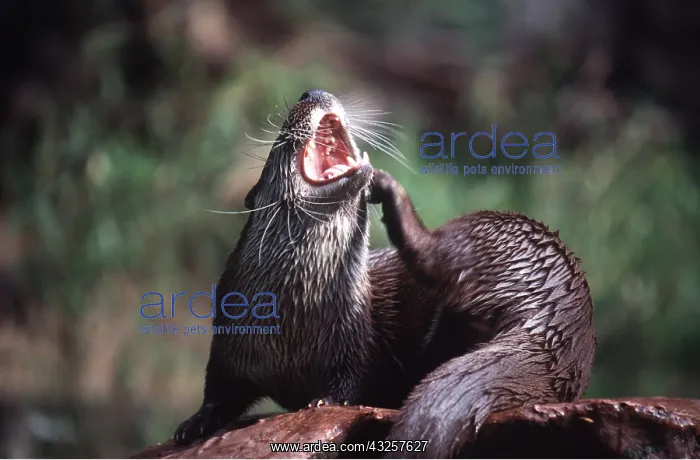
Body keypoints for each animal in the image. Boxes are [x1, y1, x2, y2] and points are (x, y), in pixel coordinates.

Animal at [173, 89, 596, 458]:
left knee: (435, 255)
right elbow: (219, 388)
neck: (293, 316)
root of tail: (560, 315)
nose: (313, 92)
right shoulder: (229, 337)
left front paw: (324, 400)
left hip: (487, 231)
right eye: (280, 142)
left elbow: (355, 379)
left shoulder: (356, 341)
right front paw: (193, 424)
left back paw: (387, 187)